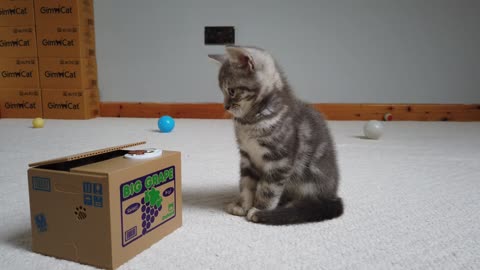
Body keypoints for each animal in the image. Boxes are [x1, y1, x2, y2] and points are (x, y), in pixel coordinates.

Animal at [208, 46, 344, 224]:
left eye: (231, 91)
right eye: (222, 91)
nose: (226, 106)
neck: (249, 122)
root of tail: (332, 195)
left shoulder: (279, 160)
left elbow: (269, 189)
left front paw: (260, 209)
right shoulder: (247, 157)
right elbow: (246, 184)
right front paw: (243, 205)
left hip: (308, 183)